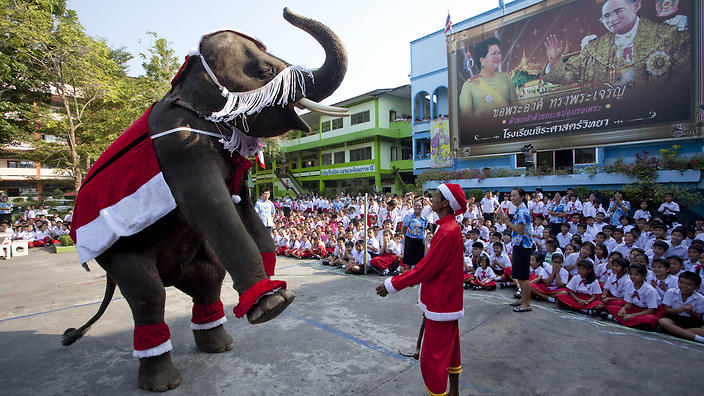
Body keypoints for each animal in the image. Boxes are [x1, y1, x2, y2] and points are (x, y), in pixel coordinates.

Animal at [62, 7, 348, 392]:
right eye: (264, 72)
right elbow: (213, 206)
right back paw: (163, 382)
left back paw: (219, 345)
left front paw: (273, 280)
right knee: (149, 294)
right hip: (117, 254)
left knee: (207, 278)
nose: (286, 11)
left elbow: (242, 204)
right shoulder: (180, 146)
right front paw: (274, 304)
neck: (186, 88)